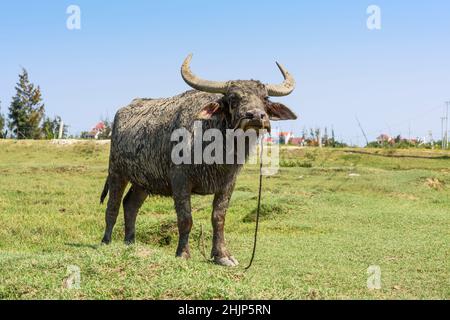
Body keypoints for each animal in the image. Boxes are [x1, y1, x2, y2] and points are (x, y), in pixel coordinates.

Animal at [102, 55, 298, 268]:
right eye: (233, 98)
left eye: (265, 98)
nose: (255, 116)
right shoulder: (180, 181)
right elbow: (185, 218)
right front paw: (183, 253)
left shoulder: (228, 183)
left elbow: (218, 217)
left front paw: (222, 255)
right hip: (117, 172)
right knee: (113, 205)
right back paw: (106, 241)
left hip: (143, 182)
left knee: (130, 205)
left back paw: (130, 242)